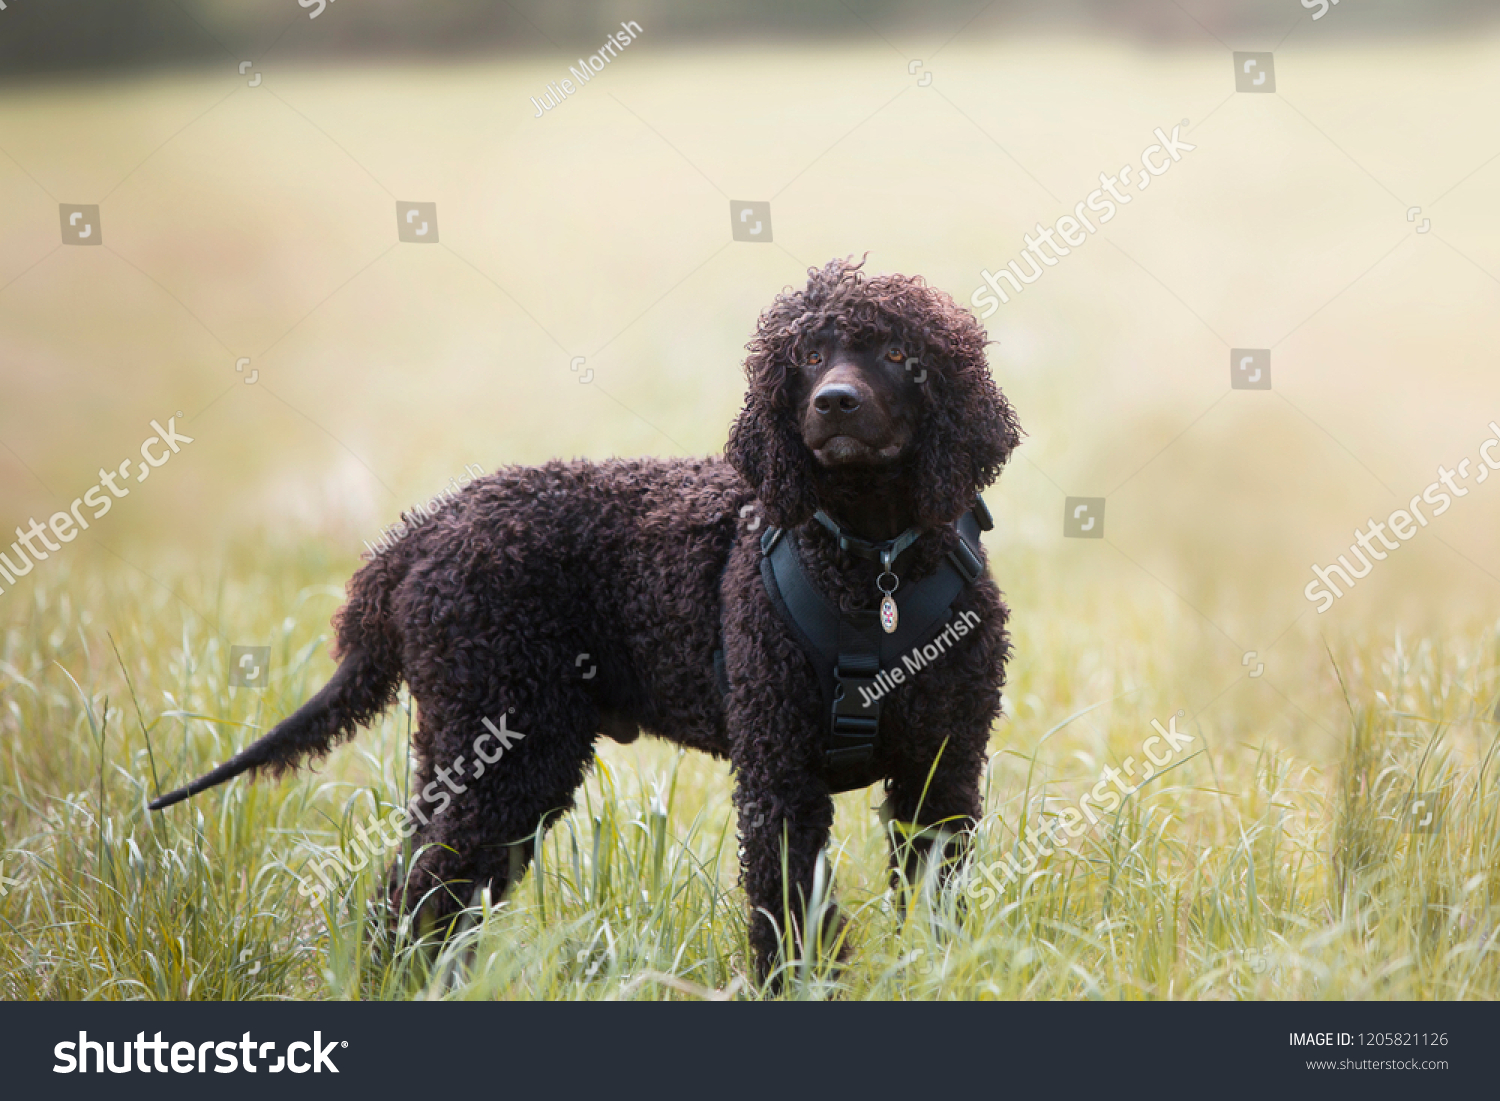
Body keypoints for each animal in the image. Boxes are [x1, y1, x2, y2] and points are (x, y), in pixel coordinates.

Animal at [149, 256, 1020, 984]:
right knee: (423, 889)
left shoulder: (941, 773)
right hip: (506, 742)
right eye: (806, 355)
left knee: (423, 885)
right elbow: (788, 909)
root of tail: (421, 531)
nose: (833, 401)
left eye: (901, 355)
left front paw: (943, 976)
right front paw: (800, 989)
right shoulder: (781, 773)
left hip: (469, 752)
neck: (871, 565)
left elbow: (936, 905)